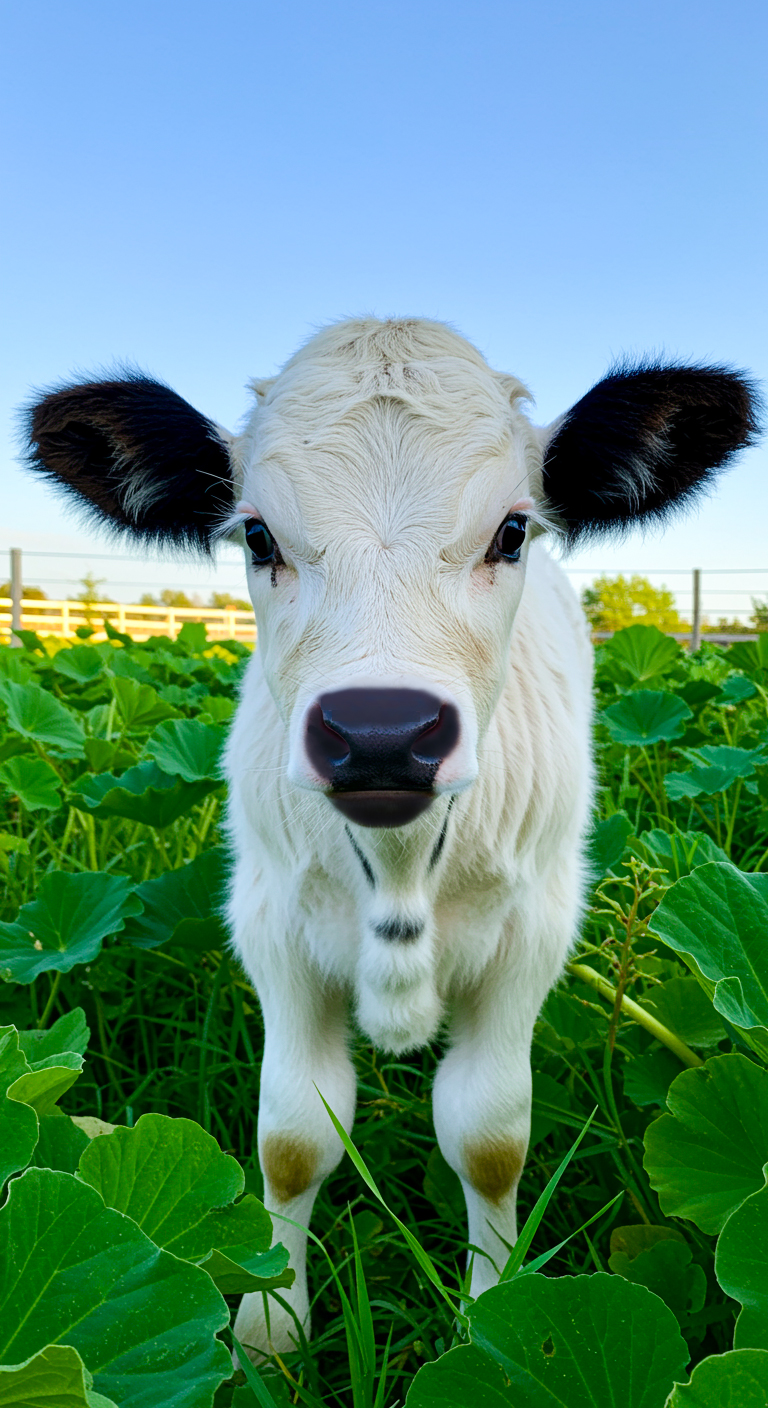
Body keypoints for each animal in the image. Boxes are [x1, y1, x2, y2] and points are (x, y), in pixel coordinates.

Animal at [24, 318, 759, 1358]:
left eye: (512, 531)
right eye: (258, 534)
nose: (381, 732)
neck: (402, 872)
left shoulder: (533, 933)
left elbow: (490, 1137)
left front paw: (492, 1308)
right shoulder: (272, 926)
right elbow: (292, 1136)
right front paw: (273, 1329)